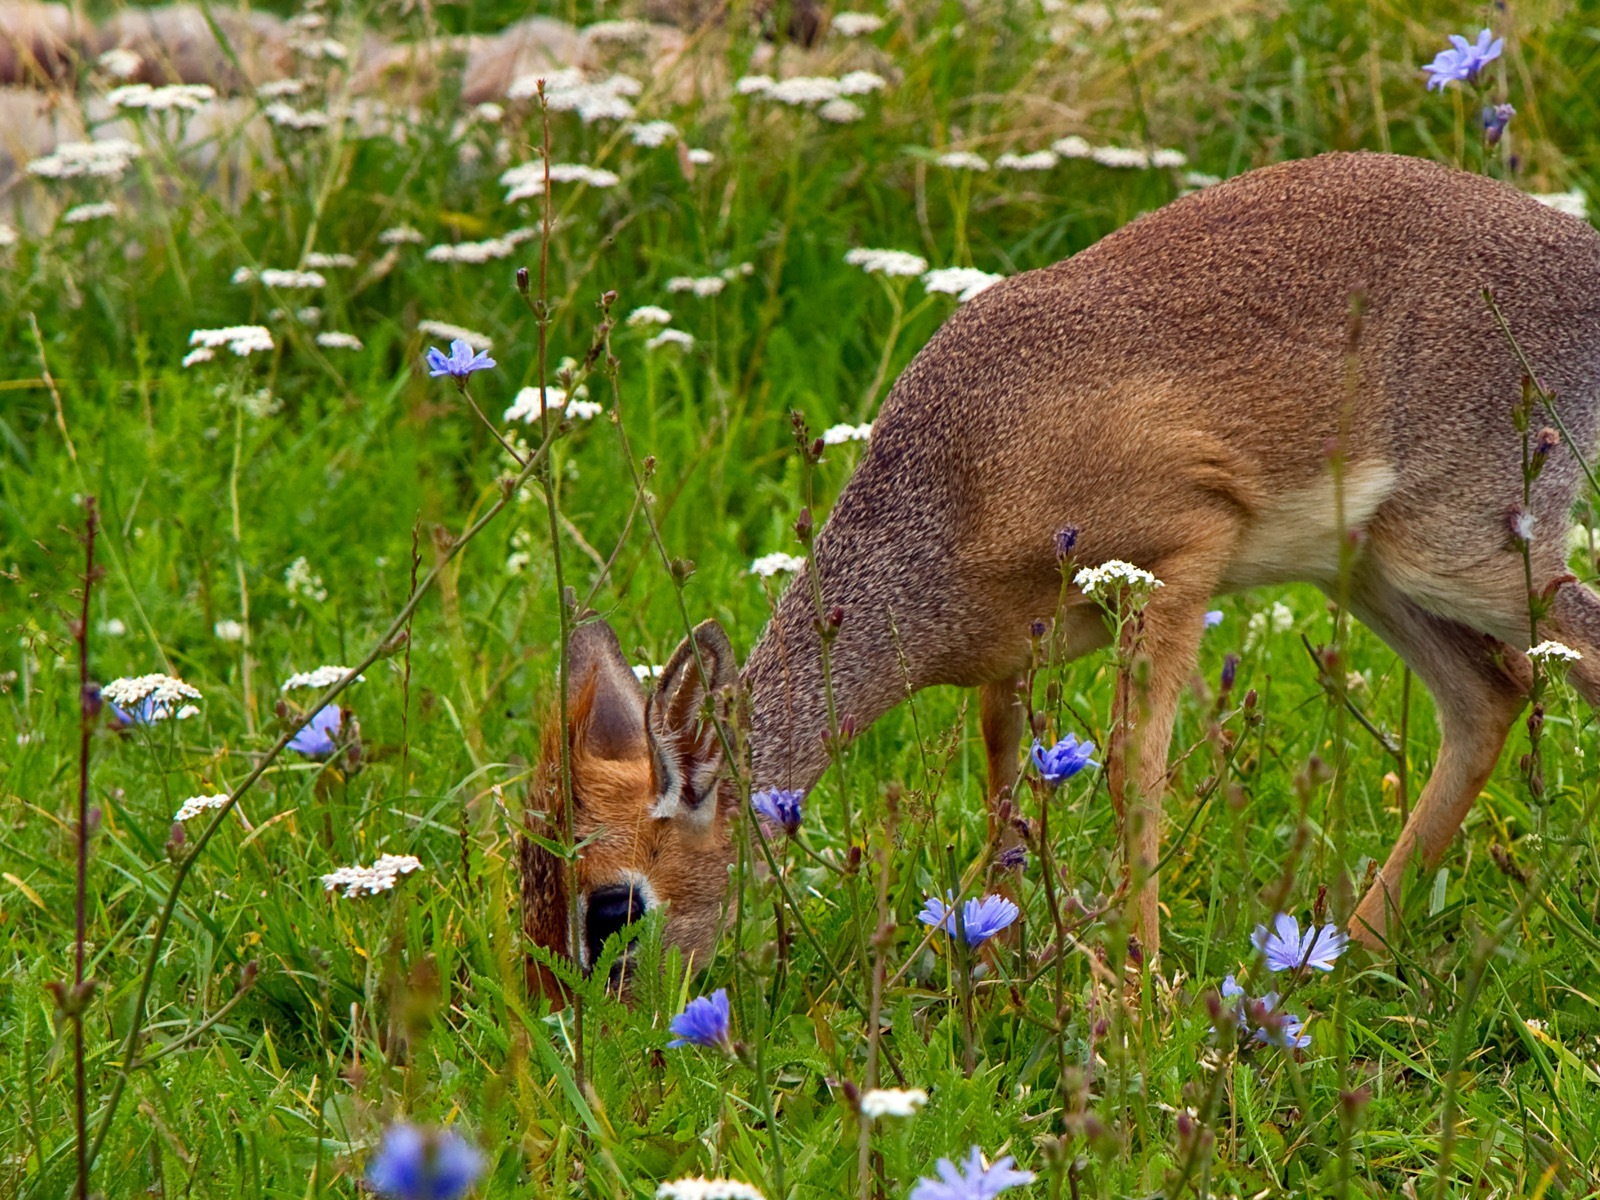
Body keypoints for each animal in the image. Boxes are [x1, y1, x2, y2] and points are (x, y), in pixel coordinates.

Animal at [521, 150, 1600, 985]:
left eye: (612, 906)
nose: (603, 1049)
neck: (956, 486)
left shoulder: (1180, 556)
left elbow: (1133, 772)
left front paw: (1141, 995)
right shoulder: (1010, 661)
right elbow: (1007, 794)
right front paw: (994, 968)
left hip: (1466, 553)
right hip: (1373, 571)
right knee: (1491, 698)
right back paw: (1344, 957)